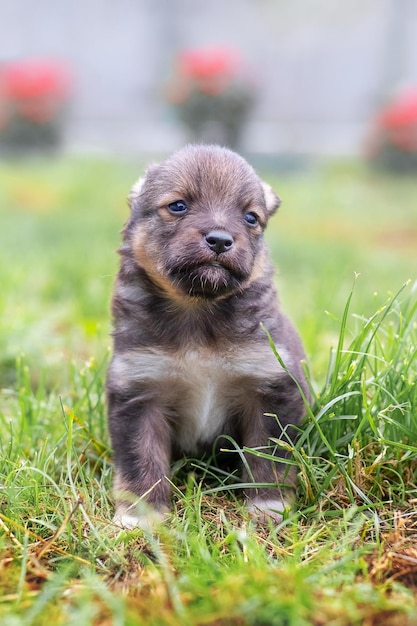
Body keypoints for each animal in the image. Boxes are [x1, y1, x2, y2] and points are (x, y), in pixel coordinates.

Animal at [105, 143, 308, 528]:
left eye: (250, 218)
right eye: (178, 206)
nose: (220, 240)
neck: (198, 312)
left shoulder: (269, 387)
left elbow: (268, 456)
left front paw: (267, 506)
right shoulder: (139, 392)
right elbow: (142, 458)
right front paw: (141, 517)